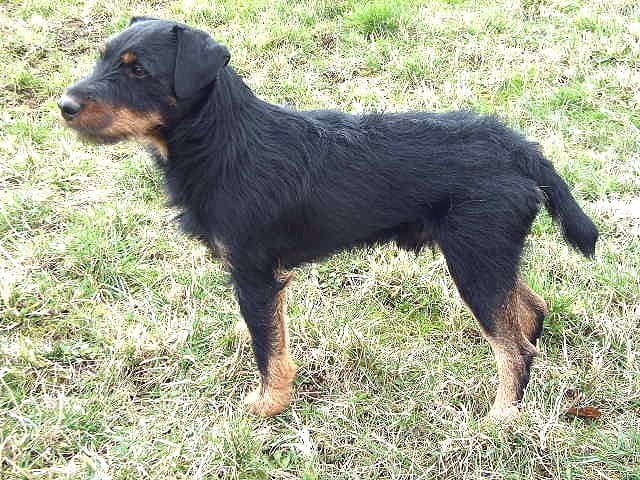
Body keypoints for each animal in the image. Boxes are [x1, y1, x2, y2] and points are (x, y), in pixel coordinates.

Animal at [60, 16, 600, 418]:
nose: (64, 105)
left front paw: (268, 406)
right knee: (530, 310)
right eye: (103, 57)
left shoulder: (255, 275)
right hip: (488, 257)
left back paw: (501, 420)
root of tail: (515, 146)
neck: (222, 140)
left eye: (139, 72)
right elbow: (274, 340)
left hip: (475, 264)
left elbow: (268, 348)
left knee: (515, 348)